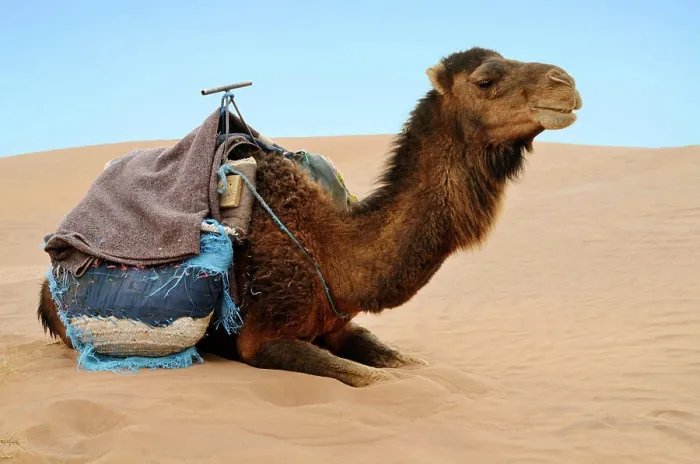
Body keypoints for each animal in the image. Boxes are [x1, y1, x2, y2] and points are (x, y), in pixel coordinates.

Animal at [37, 47, 582, 387]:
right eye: (486, 81)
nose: (566, 83)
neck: (329, 248)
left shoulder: (339, 325)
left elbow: (411, 365)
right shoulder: (263, 339)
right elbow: (375, 380)